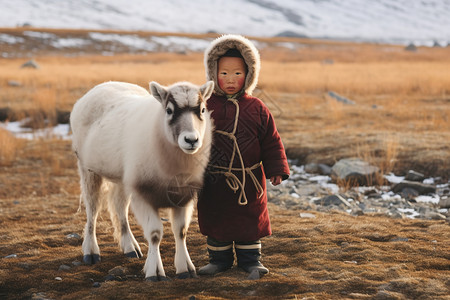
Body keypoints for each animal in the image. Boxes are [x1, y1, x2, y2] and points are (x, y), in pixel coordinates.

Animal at [70, 80, 214, 282]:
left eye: (202, 110)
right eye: (169, 110)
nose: (191, 140)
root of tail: (102, 85)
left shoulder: (183, 196)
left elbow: (181, 231)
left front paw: (185, 268)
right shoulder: (143, 195)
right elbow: (154, 234)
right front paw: (155, 272)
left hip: (123, 178)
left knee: (120, 207)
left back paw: (130, 247)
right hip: (87, 169)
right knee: (93, 209)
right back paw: (91, 252)